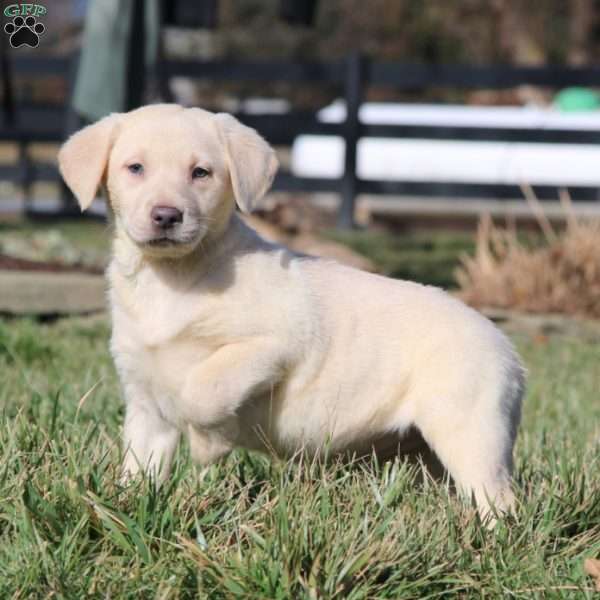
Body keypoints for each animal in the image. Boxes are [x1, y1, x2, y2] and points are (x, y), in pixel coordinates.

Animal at [58, 104, 524, 516]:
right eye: (135, 168)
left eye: (200, 173)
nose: (167, 216)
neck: (171, 278)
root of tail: (510, 352)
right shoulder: (146, 404)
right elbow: (140, 466)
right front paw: (125, 505)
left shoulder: (272, 345)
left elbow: (203, 389)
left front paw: (211, 445)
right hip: (429, 452)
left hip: (469, 430)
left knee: (501, 502)